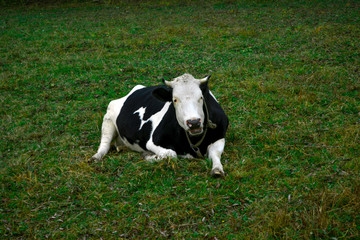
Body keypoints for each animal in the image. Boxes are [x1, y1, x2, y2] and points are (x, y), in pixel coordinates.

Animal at [91, 73, 229, 176]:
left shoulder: (220, 137)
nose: (194, 122)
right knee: (105, 143)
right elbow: (171, 154)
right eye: (175, 99)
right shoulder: (152, 142)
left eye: (201, 97)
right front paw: (149, 156)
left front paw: (217, 169)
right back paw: (96, 157)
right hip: (108, 118)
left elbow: (215, 153)